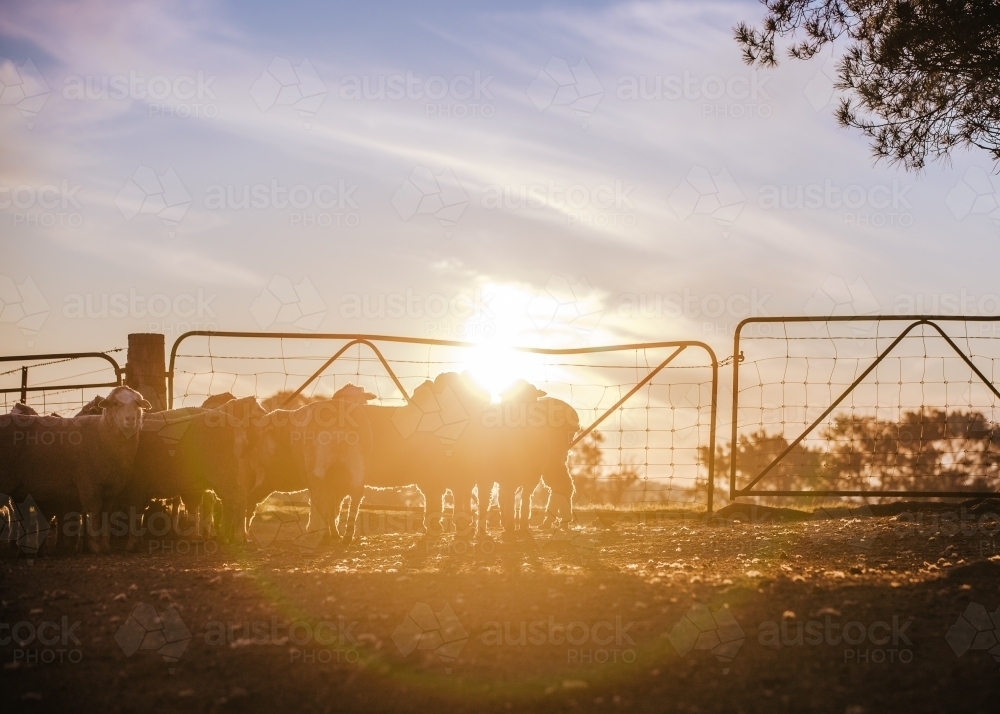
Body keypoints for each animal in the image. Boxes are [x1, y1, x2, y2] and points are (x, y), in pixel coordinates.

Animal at [0, 386, 150, 552]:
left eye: (137, 403)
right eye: (116, 404)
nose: (130, 419)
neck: (102, 432)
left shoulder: (111, 488)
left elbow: (106, 514)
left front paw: (105, 545)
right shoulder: (88, 484)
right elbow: (94, 512)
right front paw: (95, 546)